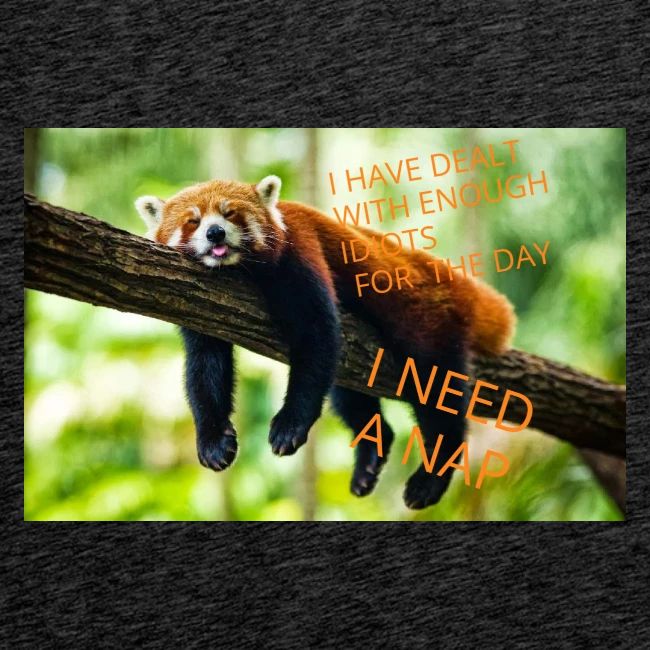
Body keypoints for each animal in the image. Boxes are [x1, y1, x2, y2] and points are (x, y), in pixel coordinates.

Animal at [136, 175, 515, 509]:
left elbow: (316, 336)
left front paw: (290, 425)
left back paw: (431, 477)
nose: (215, 232)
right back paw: (370, 458)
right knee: (348, 395)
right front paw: (213, 441)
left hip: (427, 322)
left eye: (230, 214)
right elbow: (205, 367)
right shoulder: (200, 304)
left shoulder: (300, 252)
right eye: (193, 221)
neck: (239, 270)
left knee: (436, 392)